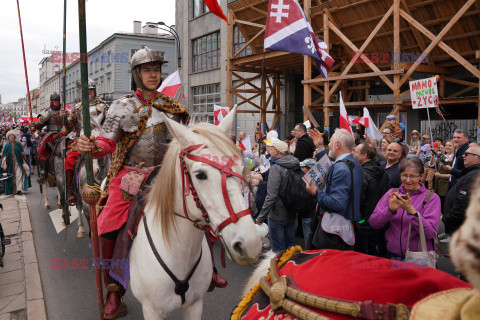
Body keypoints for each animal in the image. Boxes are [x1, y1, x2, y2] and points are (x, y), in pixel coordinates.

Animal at [129, 108, 262, 320]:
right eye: (200, 175)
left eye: (240, 167)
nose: (250, 244)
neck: (179, 252)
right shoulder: (152, 310)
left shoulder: (194, 304)